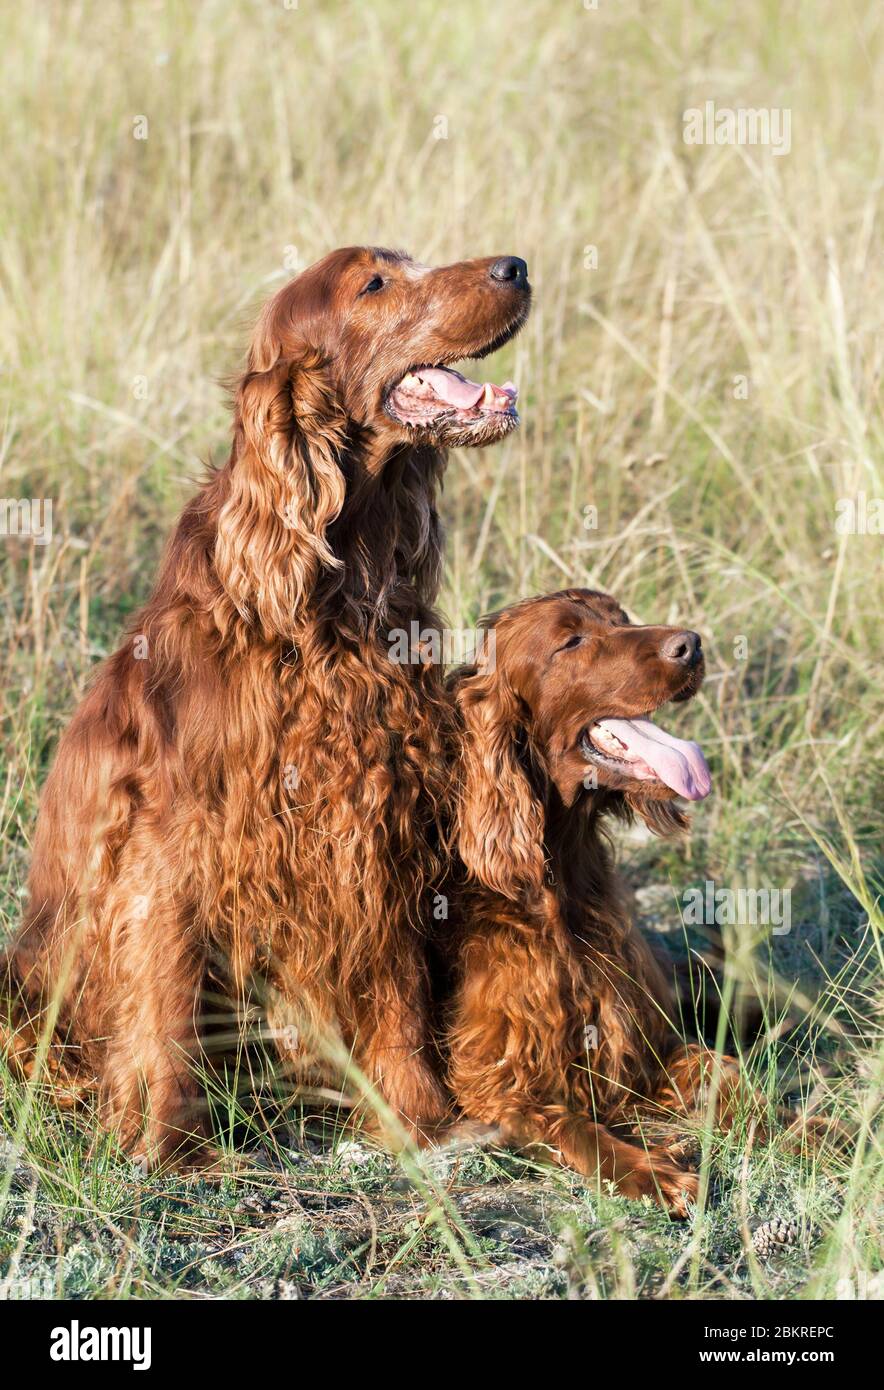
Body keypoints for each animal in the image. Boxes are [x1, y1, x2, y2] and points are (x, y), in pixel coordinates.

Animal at [1, 247, 530, 1162]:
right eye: (375, 284)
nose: (516, 266)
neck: (326, 600)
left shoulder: (373, 814)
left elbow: (397, 991)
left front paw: (421, 1120)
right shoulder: (172, 844)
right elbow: (165, 1000)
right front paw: (168, 1145)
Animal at [442, 589, 733, 1217]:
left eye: (622, 620)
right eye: (571, 640)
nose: (691, 644)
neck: (559, 885)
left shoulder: (647, 1050)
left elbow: (730, 1082)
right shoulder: (497, 1085)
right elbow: (574, 1125)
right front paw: (652, 1173)